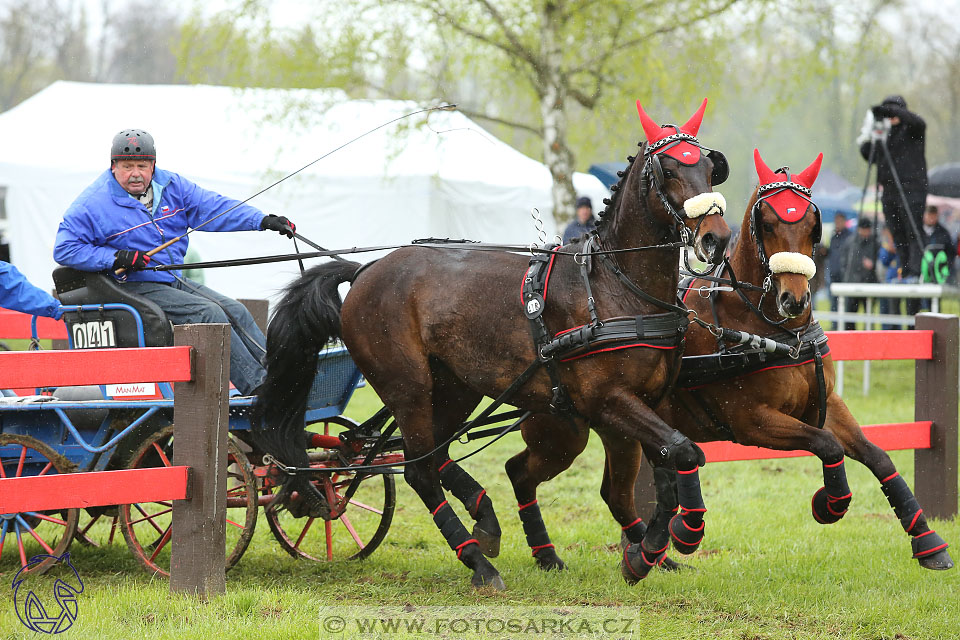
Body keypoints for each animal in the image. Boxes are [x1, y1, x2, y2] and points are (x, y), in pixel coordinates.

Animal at [251, 101, 732, 592]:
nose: (715, 237)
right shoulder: (609, 400)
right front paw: (679, 537)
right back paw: (478, 561)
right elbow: (682, 453)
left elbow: (668, 467)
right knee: (419, 469)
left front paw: (649, 552)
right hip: (409, 388)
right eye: (668, 169)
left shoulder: (646, 402)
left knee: (434, 455)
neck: (614, 286)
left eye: (709, 167)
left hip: (456, 388)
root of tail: (364, 270)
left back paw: (487, 523)